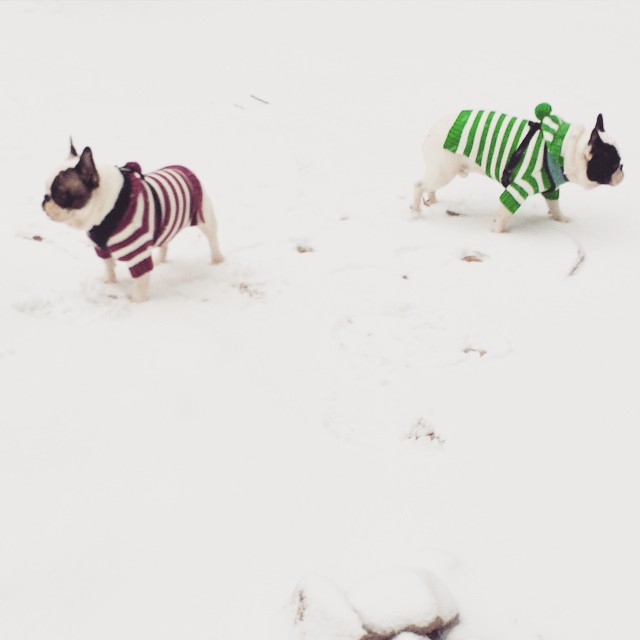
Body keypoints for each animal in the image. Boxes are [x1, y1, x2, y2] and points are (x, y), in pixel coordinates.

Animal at [412, 104, 624, 234]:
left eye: (620, 163)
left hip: (441, 172)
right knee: (419, 184)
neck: (565, 150)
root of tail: (433, 130)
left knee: (429, 186)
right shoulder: (519, 187)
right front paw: (497, 233)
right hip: (443, 172)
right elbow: (503, 214)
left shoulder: (550, 187)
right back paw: (415, 211)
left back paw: (432, 200)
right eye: (613, 165)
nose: (622, 171)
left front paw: (561, 220)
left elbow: (554, 206)